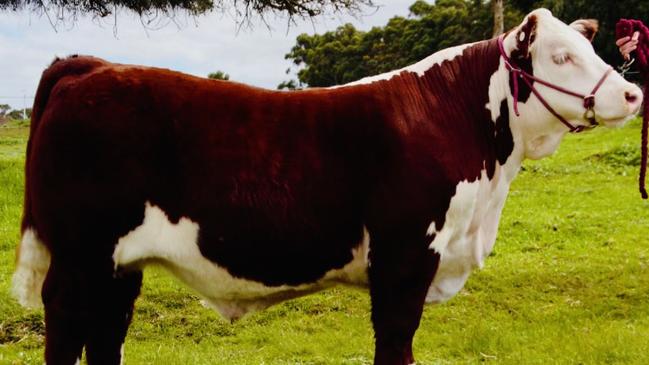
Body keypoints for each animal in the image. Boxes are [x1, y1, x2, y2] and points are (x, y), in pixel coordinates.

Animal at [10, 8, 644, 364]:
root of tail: (91, 65)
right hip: (80, 257)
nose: (632, 93)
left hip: (119, 264)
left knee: (105, 334)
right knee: (65, 327)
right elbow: (395, 342)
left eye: (589, 48)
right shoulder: (406, 257)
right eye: (560, 56)